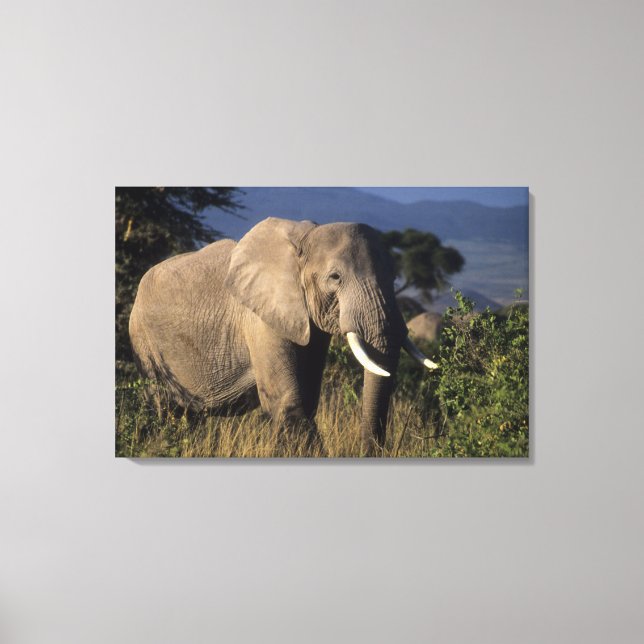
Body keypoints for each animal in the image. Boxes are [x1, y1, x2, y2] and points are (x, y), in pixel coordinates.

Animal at [129, 217, 436, 455]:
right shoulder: (260, 319)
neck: (304, 239)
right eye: (335, 277)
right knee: (164, 411)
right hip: (145, 344)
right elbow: (288, 401)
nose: (369, 452)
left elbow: (307, 399)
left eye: (394, 277)